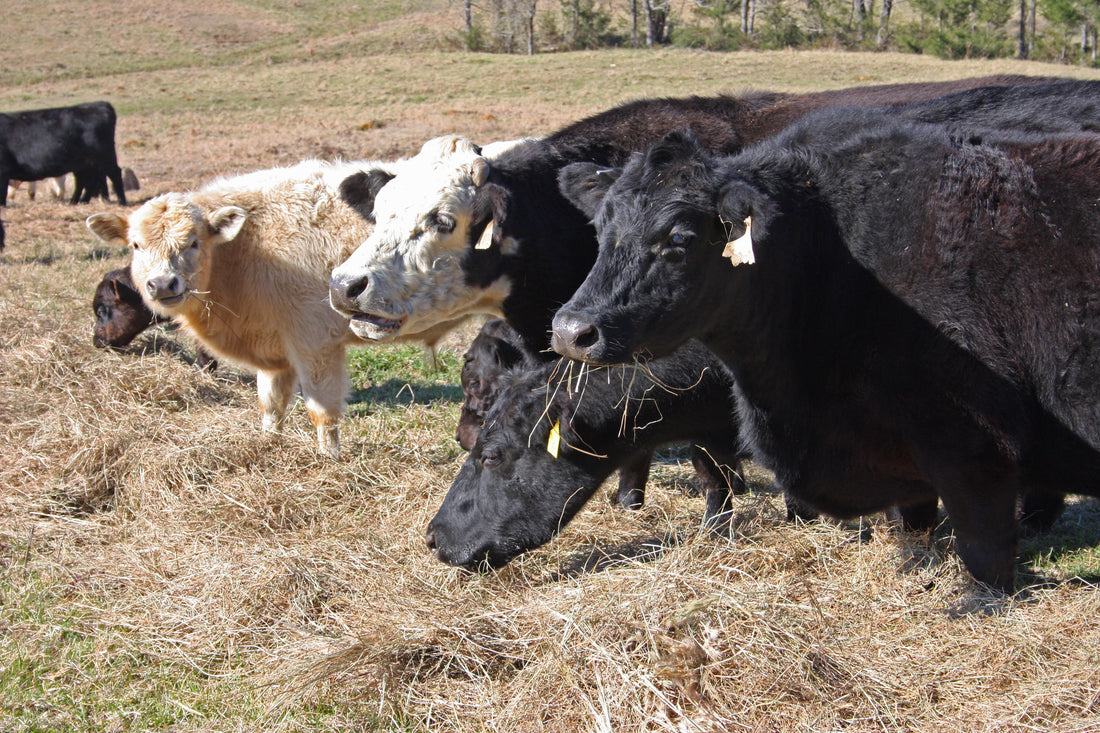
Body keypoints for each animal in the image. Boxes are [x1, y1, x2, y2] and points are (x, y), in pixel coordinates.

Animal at [86, 159, 464, 458]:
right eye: (136, 245)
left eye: (193, 242)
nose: (164, 284)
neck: (246, 248)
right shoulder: (275, 354)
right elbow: (271, 405)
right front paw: (268, 444)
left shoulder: (315, 344)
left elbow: (322, 412)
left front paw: (329, 460)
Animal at [550, 111, 1100, 593]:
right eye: (599, 229)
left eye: (680, 238)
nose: (571, 330)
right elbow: (915, 525)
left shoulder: (976, 445)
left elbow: (985, 556)